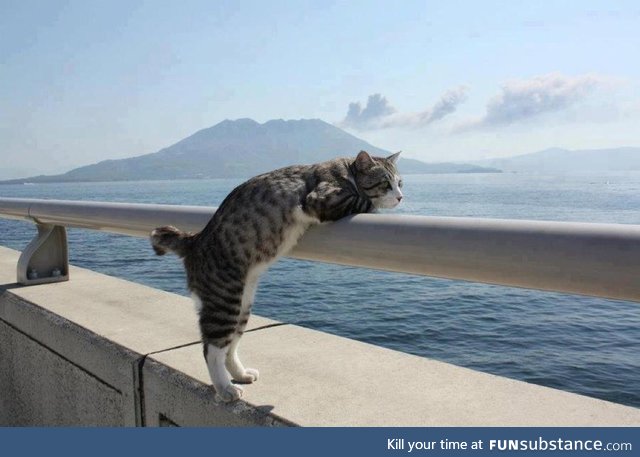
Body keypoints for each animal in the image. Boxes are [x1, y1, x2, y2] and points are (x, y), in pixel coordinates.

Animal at [150, 150, 402, 400]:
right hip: (223, 300)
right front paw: (376, 205)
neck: (345, 170)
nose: (400, 197)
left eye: (400, 183)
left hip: (243, 305)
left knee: (230, 346)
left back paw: (240, 373)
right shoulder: (321, 198)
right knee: (211, 349)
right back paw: (225, 388)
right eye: (385, 183)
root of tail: (195, 241)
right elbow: (363, 201)